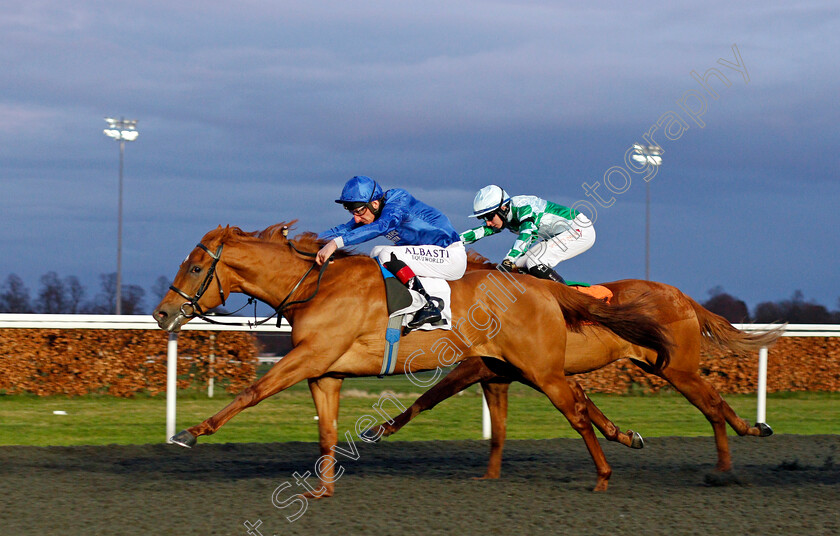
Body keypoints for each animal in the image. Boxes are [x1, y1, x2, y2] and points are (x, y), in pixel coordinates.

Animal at [154, 223, 672, 494]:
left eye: (195, 267)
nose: (162, 314)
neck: (316, 286)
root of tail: (541, 286)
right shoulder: (325, 372)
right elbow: (325, 432)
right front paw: (323, 488)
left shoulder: (308, 356)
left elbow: (253, 391)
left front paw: (189, 433)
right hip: (516, 367)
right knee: (582, 401)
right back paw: (625, 438)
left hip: (540, 369)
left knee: (577, 413)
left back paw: (603, 475)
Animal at [370, 254, 784, 478]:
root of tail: (682, 296)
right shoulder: (516, 373)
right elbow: (584, 408)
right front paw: (626, 436)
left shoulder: (485, 368)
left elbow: (428, 398)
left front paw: (379, 429)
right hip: (665, 366)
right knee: (716, 401)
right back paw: (755, 429)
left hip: (676, 369)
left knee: (711, 404)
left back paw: (725, 463)